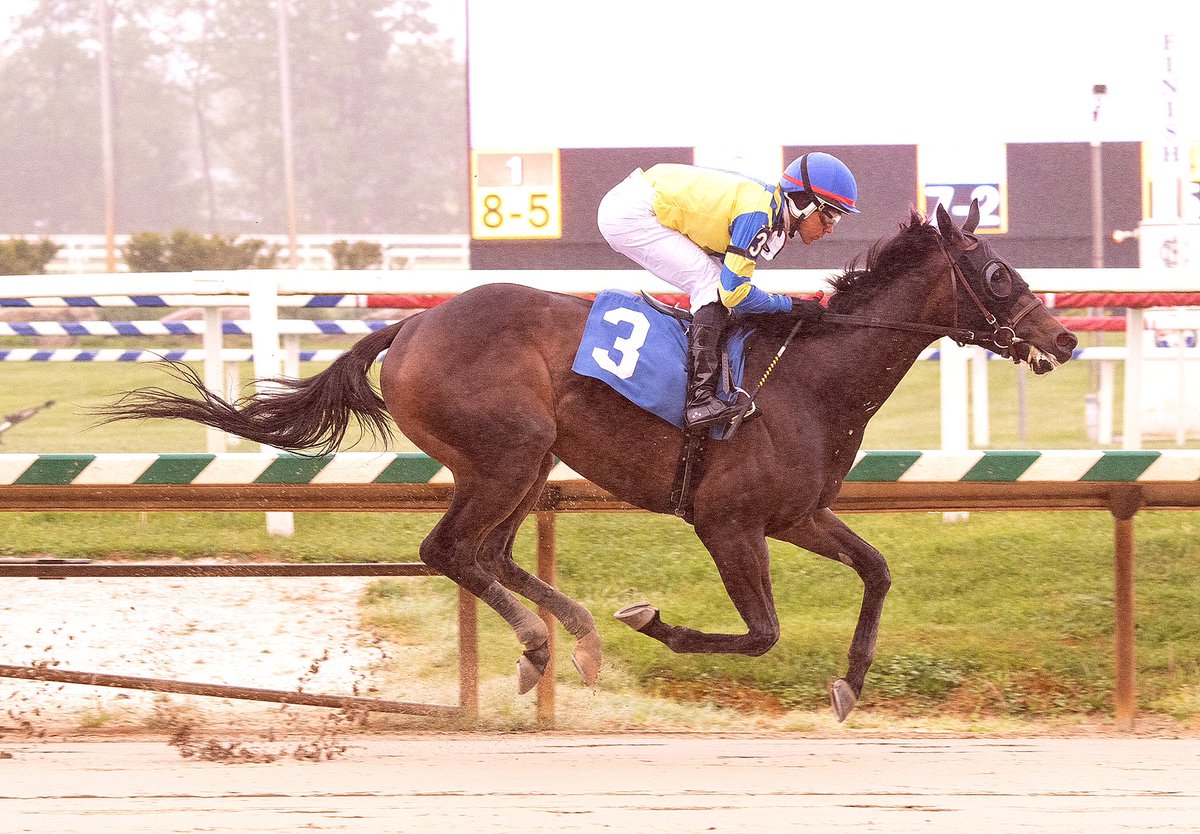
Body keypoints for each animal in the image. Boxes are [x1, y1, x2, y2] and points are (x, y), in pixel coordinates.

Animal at [103, 205, 1080, 720]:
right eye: (998, 275)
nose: (1065, 338)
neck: (806, 378)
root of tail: (411, 326)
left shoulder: (797, 514)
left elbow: (876, 572)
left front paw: (849, 682)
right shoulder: (728, 522)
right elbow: (760, 632)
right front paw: (652, 620)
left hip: (523, 463)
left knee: (486, 555)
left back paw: (565, 639)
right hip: (509, 452)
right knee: (449, 551)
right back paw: (550, 640)